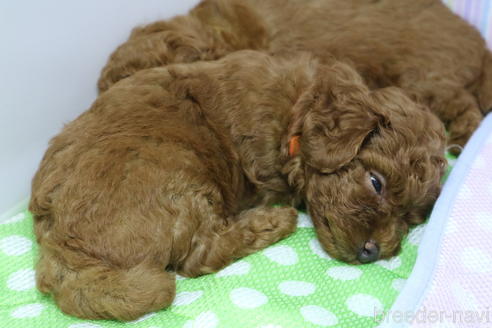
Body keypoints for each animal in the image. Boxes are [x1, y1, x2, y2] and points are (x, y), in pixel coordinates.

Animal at [29, 52, 446, 320]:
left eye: (410, 221)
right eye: (375, 183)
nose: (373, 252)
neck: (297, 110)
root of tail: (63, 256)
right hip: (180, 176)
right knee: (198, 257)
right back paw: (273, 222)